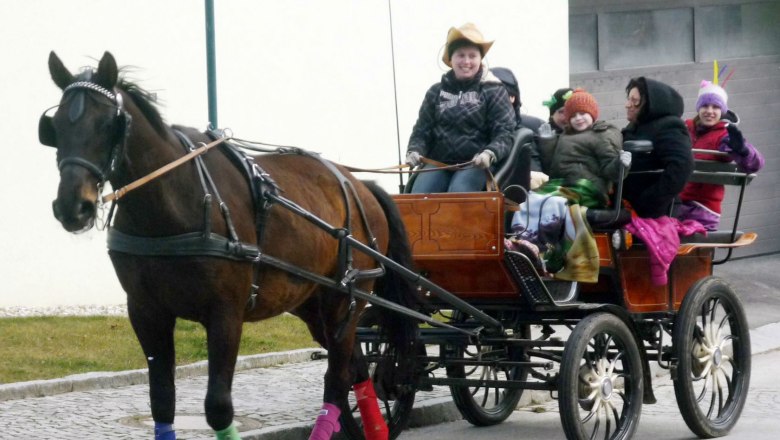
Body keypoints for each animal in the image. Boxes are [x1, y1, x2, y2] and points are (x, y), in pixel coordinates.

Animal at [41, 52, 420, 440]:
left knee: (338, 376)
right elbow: (161, 401)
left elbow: (218, 407)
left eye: (108, 123)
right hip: (313, 304)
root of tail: (360, 185)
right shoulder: (146, 311)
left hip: (347, 300)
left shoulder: (225, 313)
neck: (174, 200)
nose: (73, 206)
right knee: (354, 369)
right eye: (54, 127)